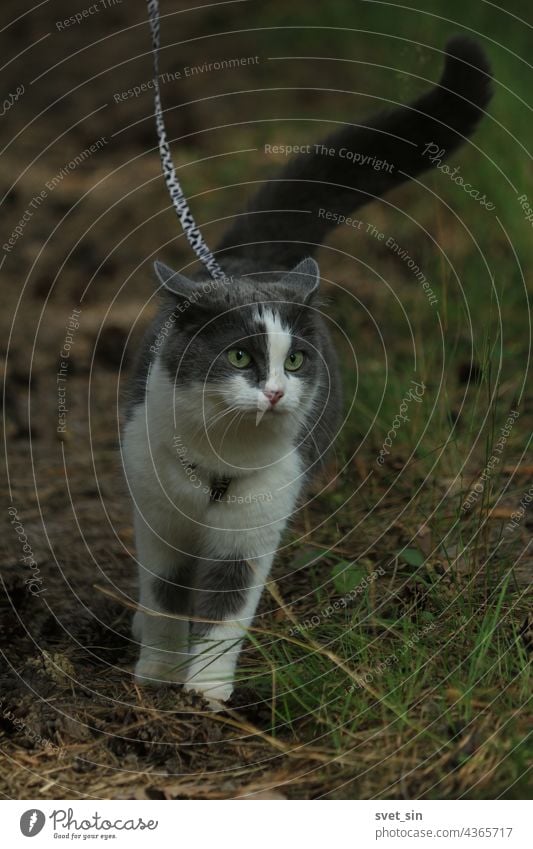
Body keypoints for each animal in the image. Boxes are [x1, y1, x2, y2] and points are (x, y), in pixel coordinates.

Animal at [120, 36, 490, 704]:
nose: (273, 392)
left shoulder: (249, 533)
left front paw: (203, 695)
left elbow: (224, 611)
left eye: (294, 360)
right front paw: (156, 677)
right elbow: (163, 596)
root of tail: (255, 261)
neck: (218, 464)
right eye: (240, 356)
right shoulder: (156, 520)